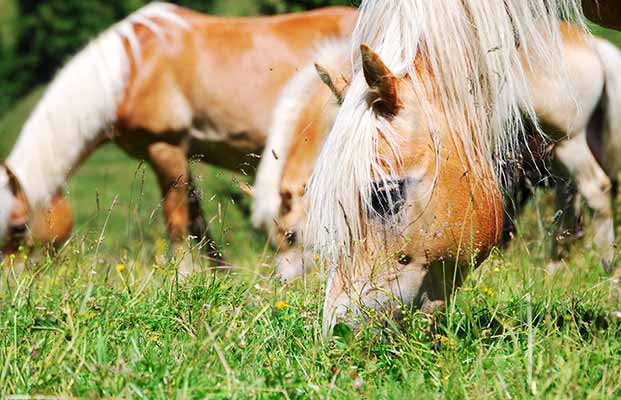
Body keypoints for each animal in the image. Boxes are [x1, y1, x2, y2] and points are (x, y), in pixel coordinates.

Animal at [0, 2, 358, 276]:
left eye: (18, 227)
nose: (10, 283)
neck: (132, 69)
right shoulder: (180, 156)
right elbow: (198, 222)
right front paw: (221, 276)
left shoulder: (166, 148)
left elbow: (177, 224)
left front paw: (184, 277)